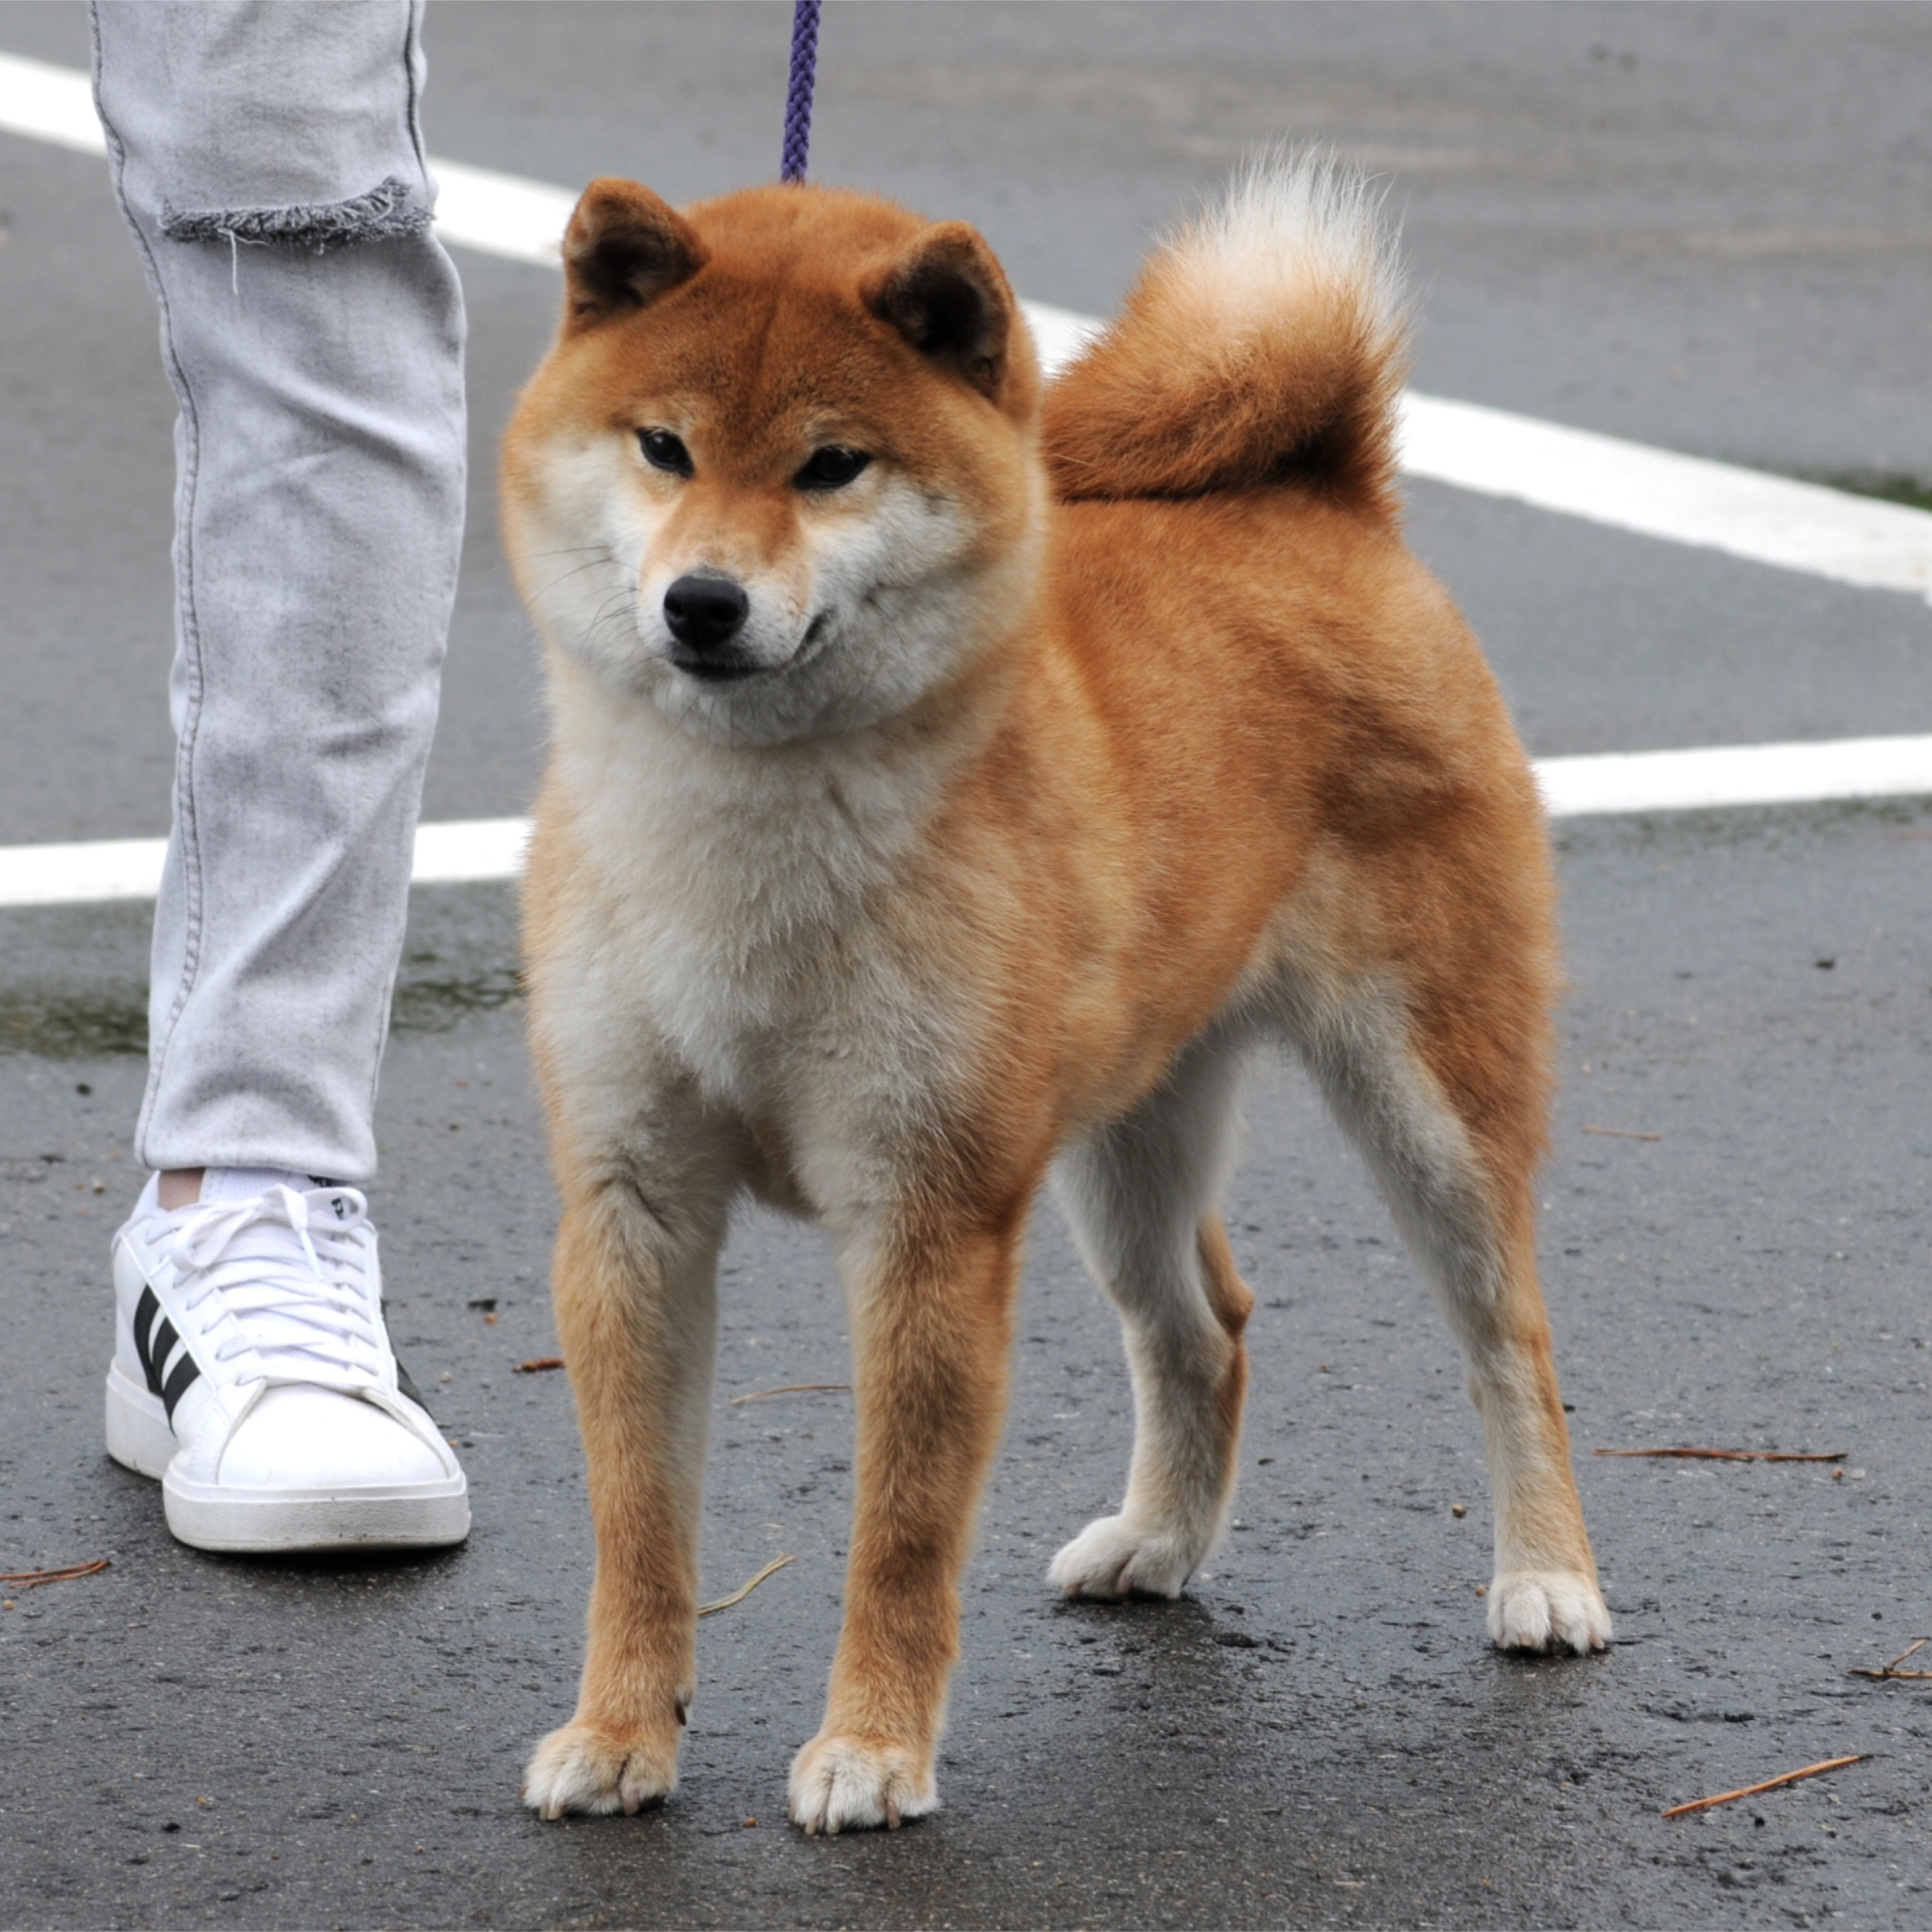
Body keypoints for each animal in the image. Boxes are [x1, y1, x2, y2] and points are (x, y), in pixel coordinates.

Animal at [506, 158, 1607, 1831]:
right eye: (664, 448)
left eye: (831, 465)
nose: (699, 601)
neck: (741, 847)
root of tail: (1326, 497)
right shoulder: (631, 1203)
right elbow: (637, 1527)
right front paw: (622, 1731)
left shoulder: (929, 1215)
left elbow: (898, 1537)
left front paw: (874, 1747)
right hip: (1122, 1143)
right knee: (1204, 1326)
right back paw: (1158, 1541)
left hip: (1431, 1107)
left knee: (1509, 1341)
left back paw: (1546, 1576)